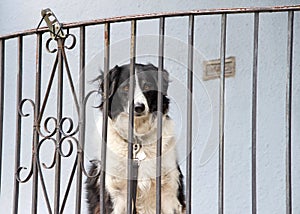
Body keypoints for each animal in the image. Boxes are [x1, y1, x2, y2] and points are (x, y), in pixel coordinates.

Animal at [85, 63, 185, 214]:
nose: (138, 107)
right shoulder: (116, 196)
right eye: (126, 88)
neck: (138, 142)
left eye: (147, 86)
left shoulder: (170, 193)